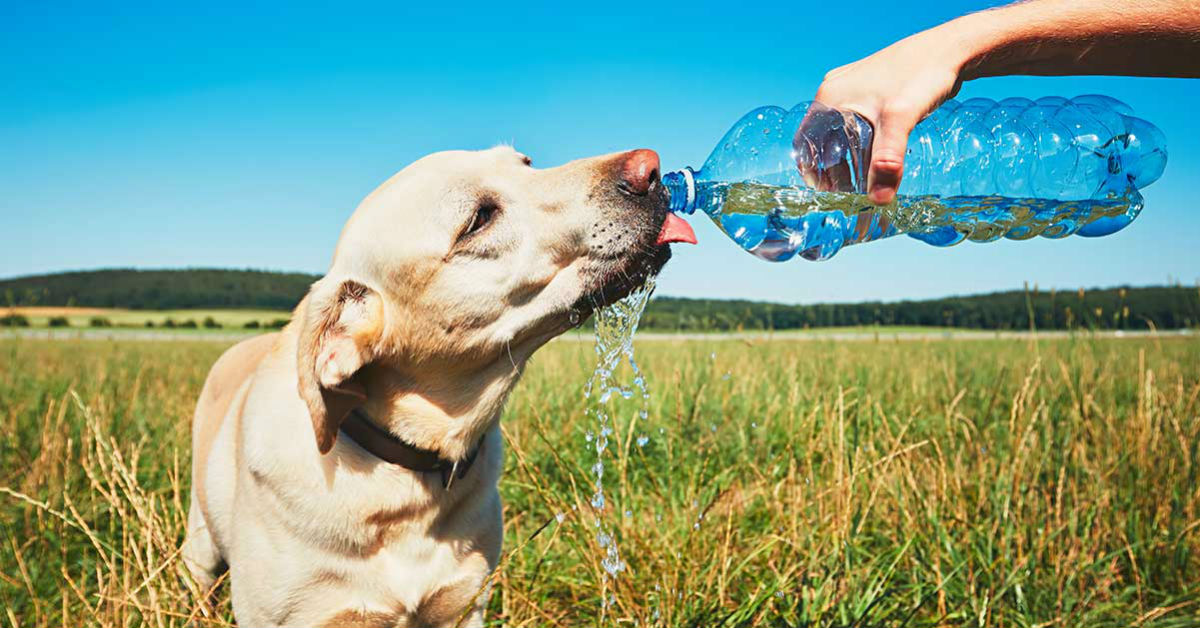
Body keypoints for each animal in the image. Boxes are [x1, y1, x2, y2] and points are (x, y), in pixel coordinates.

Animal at [182, 145, 700, 624]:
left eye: (526, 163)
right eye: (478, 219)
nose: (651, 168)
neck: (407, 479)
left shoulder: (464, 604)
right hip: (199, 545)